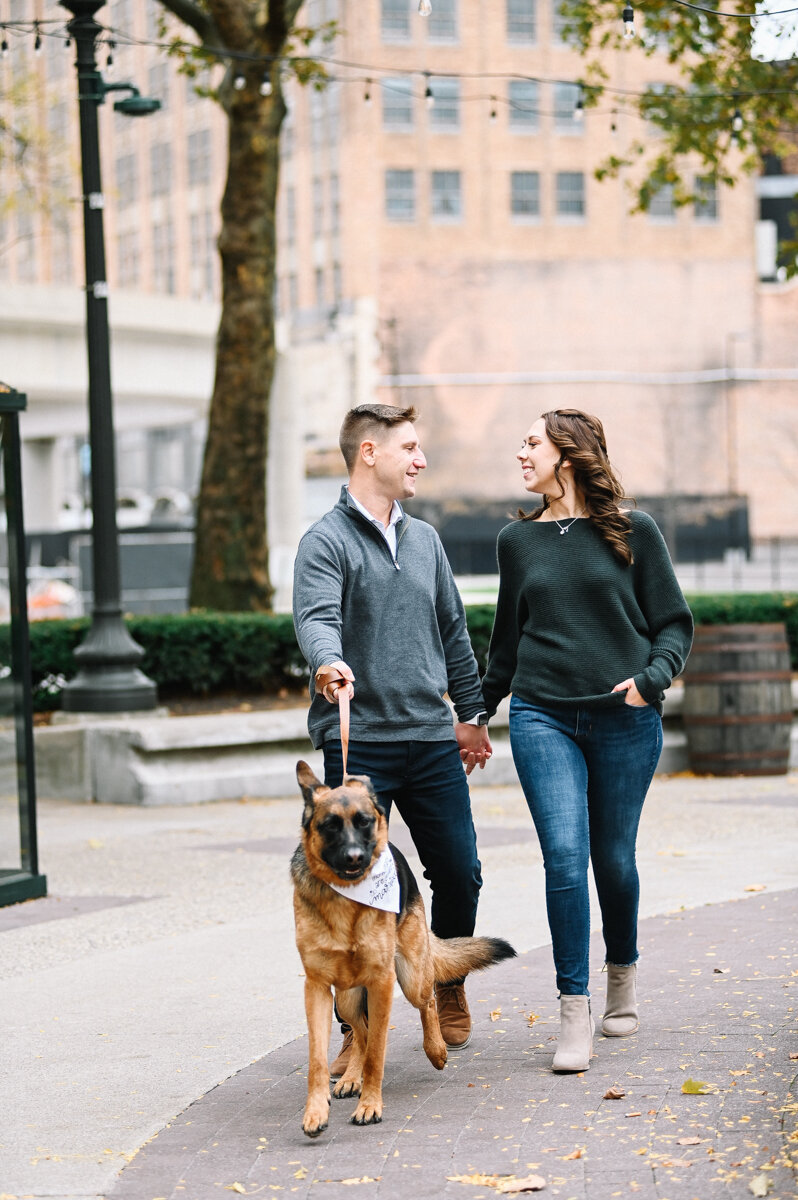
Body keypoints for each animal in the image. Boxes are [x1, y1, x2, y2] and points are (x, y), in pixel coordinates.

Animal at [292, 763, 516, 1137]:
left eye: (364, 821)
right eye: (330, 825)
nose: (355, 857)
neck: (345, 900)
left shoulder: (382, 983)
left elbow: (377, 1053)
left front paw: (370, 1105)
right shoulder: (317, 988)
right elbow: (318, 1060)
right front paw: (315, 1111)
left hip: (410, 977)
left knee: (426, 1002)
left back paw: (436, 1050)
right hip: (347, 996)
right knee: (360, 1031)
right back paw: (350, 1077)